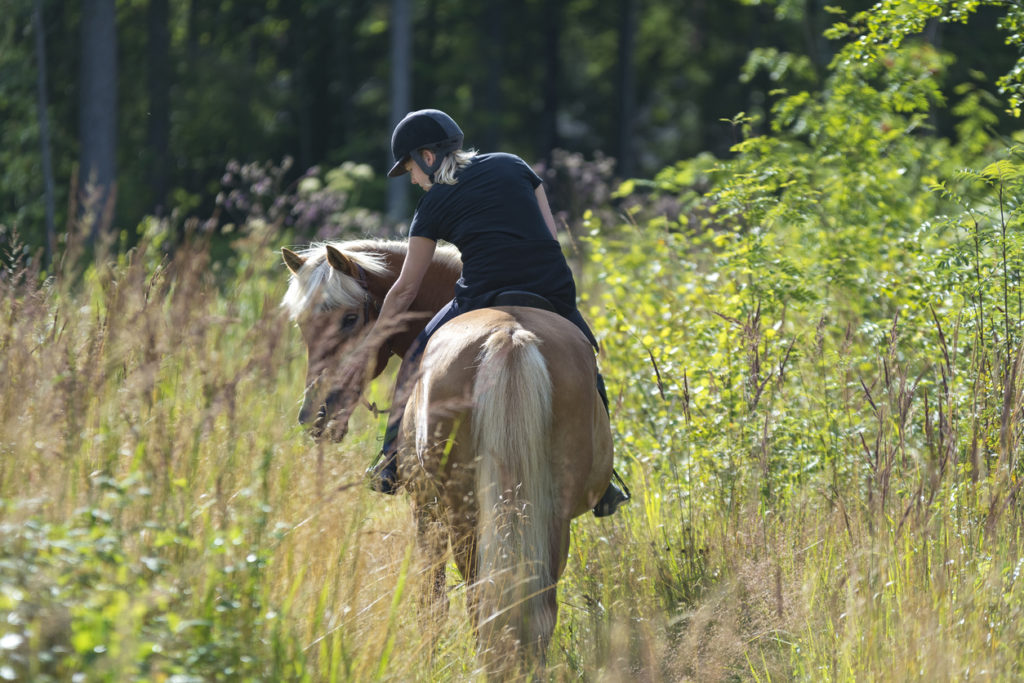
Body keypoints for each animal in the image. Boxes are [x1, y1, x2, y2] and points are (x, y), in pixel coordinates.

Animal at [280, 240, 610, 671]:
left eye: (350, 319)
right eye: (302, 324)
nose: (315, 414)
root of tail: (509, 336)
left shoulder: (425, 509)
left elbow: (431, 601)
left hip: (463, 513)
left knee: (479, 599)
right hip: (549, 512)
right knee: (536, 605)